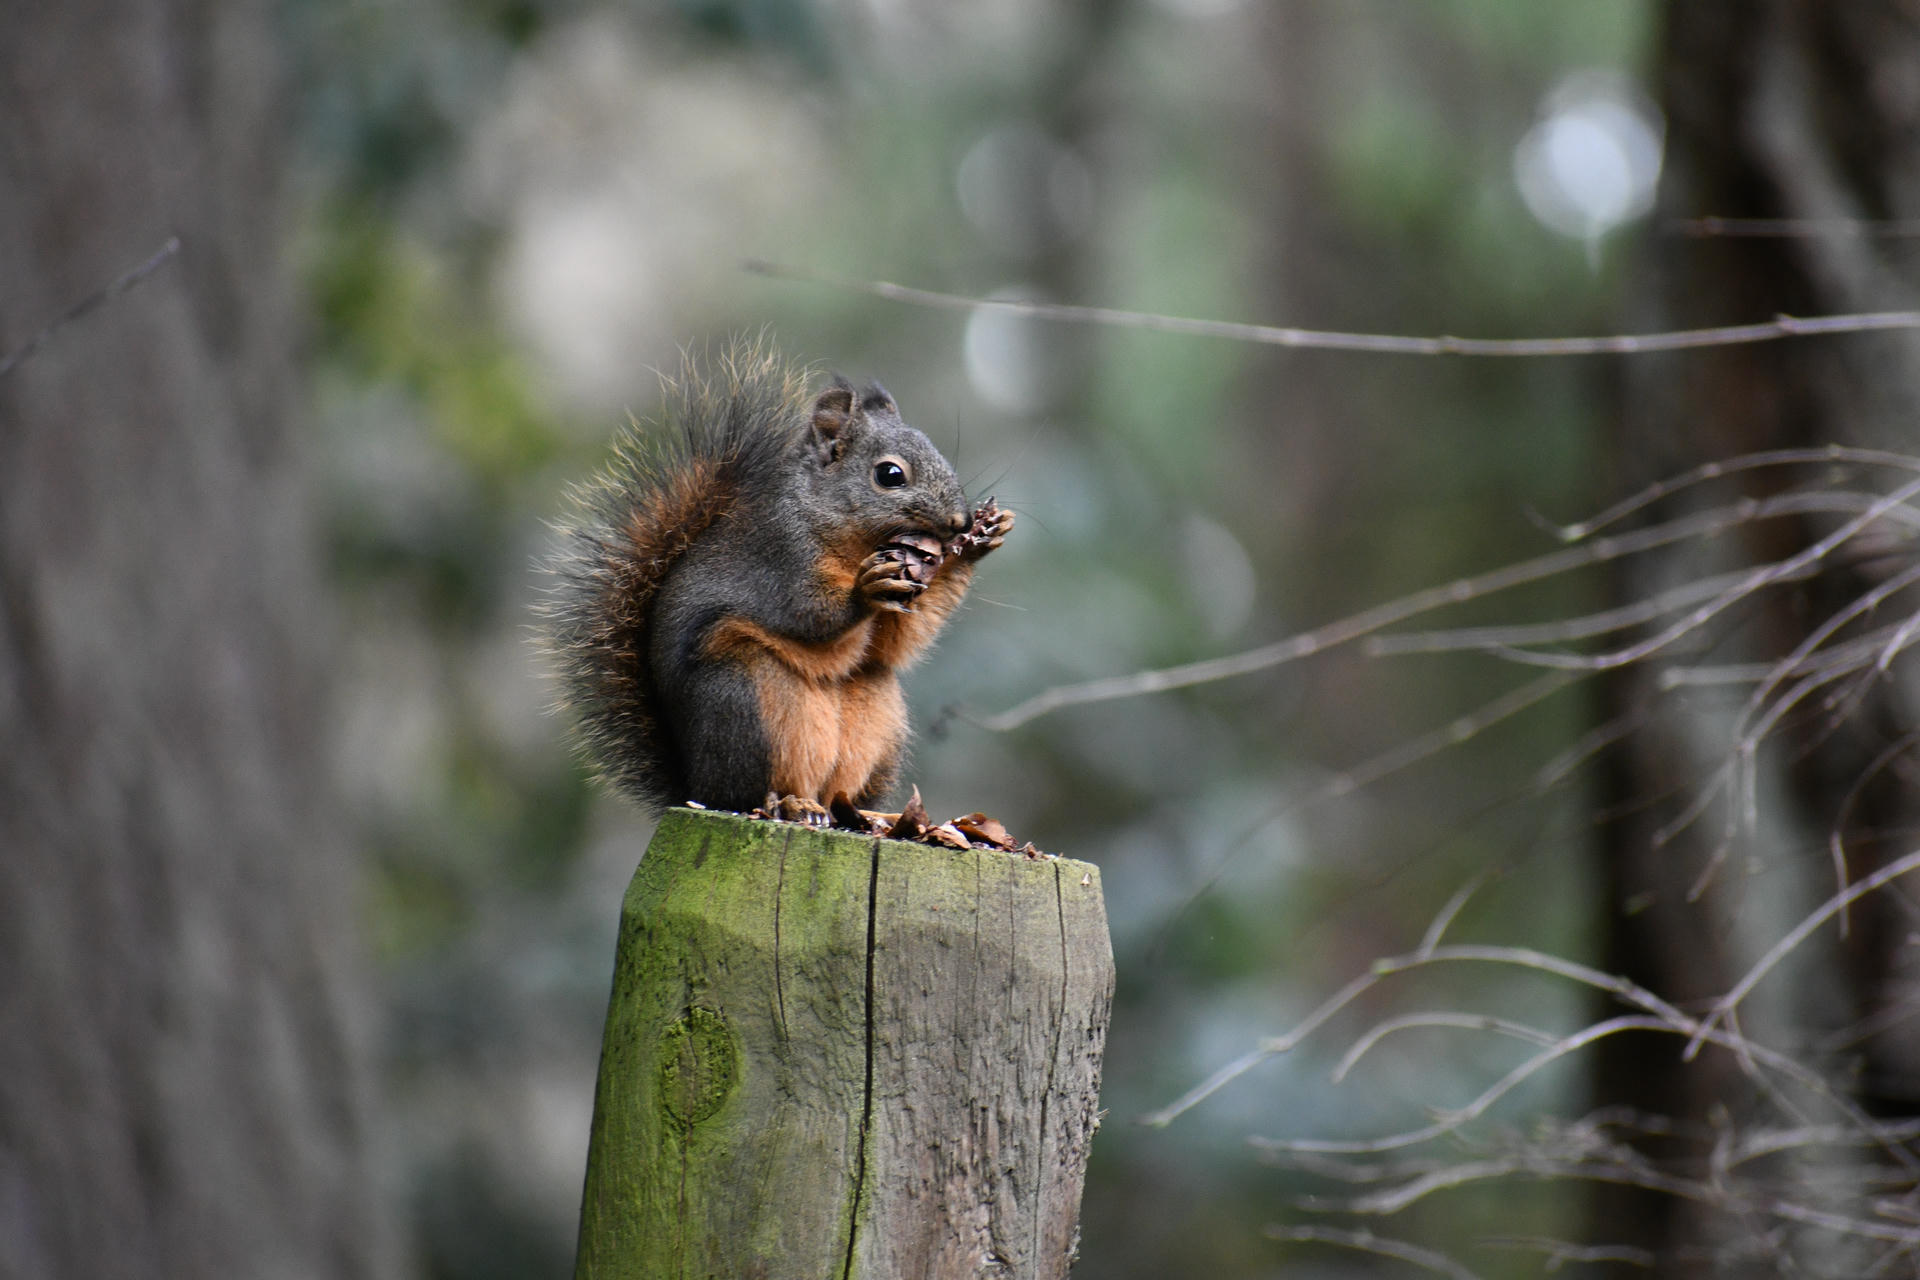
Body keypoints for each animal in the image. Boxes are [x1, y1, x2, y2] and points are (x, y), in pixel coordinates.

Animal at [543, 342, 1013, 815]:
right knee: (757, 786)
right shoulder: (780, 557)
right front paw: (866, 590)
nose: (959, 521)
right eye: (890, 475)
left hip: (879, 716)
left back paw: (856, 813)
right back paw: (791, 804)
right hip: (752, 698)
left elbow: (895, 642)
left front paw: (980, 539)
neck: (837, 525)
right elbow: (805, 614)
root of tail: (698, 788)